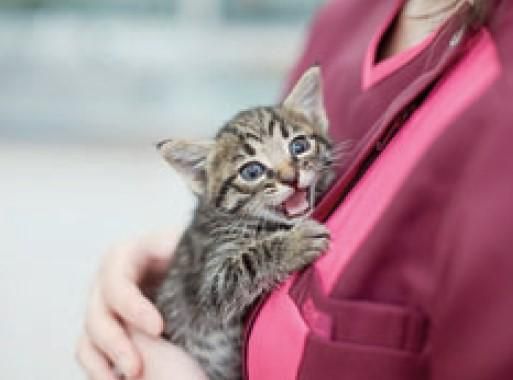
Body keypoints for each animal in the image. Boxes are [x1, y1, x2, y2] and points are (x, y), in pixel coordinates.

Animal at [154, 67, 338, 380]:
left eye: (299, 145)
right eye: (252, 171)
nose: (291, 178)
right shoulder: (209, 283)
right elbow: (247, 260)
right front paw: (295, 244)